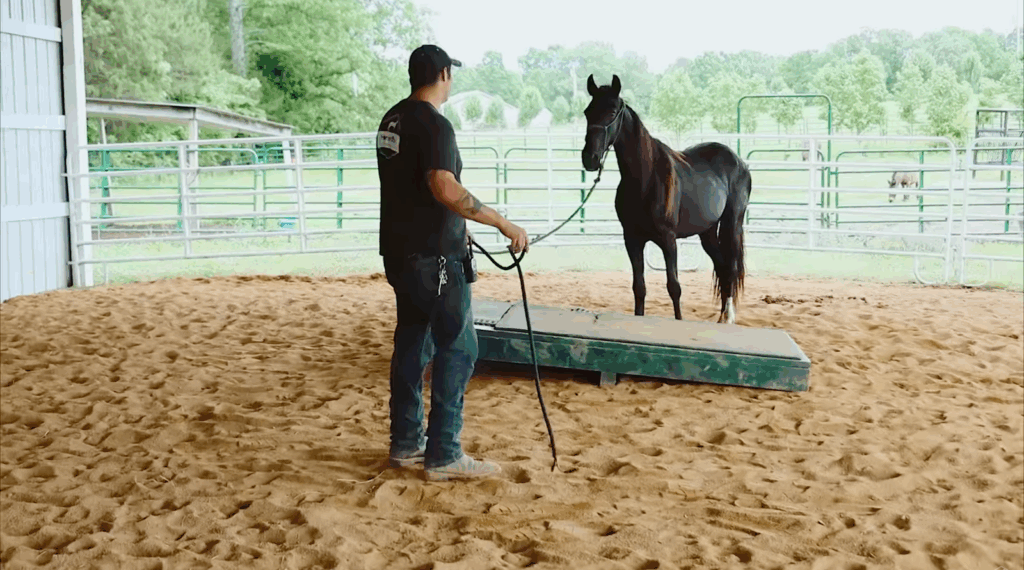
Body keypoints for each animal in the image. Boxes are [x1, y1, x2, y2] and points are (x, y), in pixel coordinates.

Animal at [580, 74, 752, 325]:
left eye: (612, 111)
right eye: (587, 111)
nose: (589, 159)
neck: (645, 177)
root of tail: (739, 162)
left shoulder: (668, 240)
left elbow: (674, 287)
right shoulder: (632, 240)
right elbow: (639, 287)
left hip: (732, 223)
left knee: (730, 267)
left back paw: (728, 317)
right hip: (707, 231)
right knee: (721, 267)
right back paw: (721, 318)